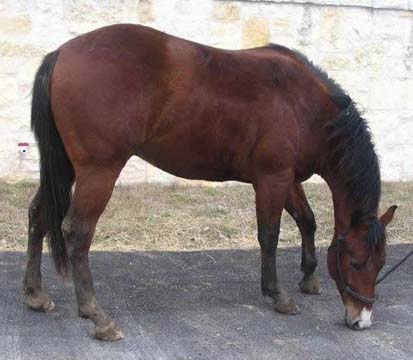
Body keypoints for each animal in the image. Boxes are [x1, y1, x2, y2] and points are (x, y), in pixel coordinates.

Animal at [23, 23, 396, 340]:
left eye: (381, 263)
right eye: (355, 262)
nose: (361, 319)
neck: (302, 104)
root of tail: (62, 53)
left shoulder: (289, 180)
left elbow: (307, 221)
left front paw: (308, 276)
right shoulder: (272, 179)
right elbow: (270, 235)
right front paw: (277, 294)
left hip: (65, 166)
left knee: (38, 216)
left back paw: (36, 294)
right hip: (98, 170)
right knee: (78, 232)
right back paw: (96, 315)